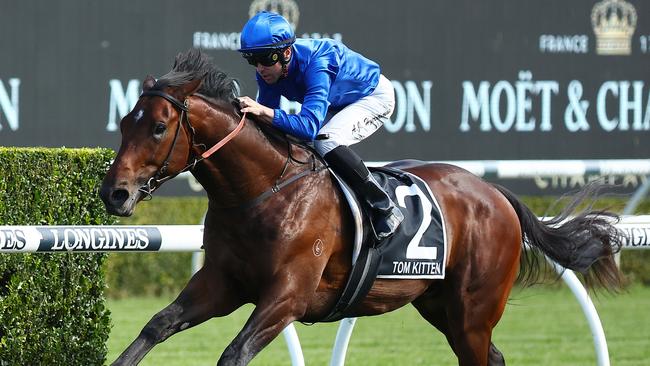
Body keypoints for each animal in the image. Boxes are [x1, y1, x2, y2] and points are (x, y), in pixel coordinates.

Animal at [98, 49, 620, 366]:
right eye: (124, 121)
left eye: (159, 128)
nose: (114, 193)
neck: (261, 191)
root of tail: (495, 193)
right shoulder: (222, 282)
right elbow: (158, 325)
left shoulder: (288, 295)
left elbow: (235, 352)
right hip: (439, 305)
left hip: (474, 310)